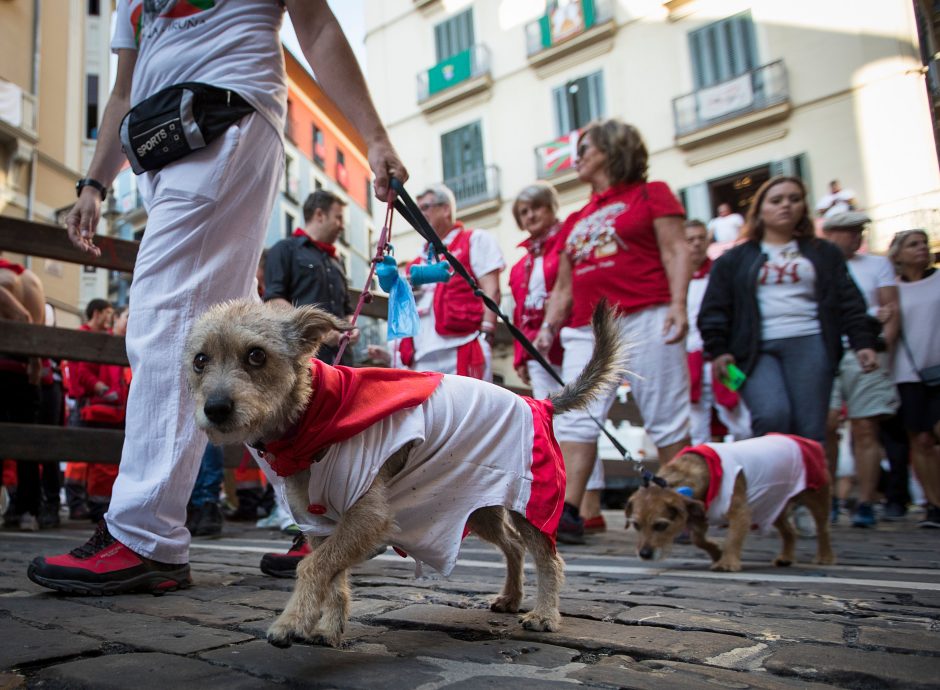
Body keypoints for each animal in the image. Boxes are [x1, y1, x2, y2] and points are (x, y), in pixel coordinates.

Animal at [184, 300, 624, 644]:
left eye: (256, 355)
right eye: (200, 361)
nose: (216, 408)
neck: (312, 415)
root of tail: (539, 404)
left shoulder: (367, 516)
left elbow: (314, 566)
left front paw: (291, 622)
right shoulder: (321, 523)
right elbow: (332, 574)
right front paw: (327, 627)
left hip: (530, 503)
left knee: (549, 560)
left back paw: (545, 615)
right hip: (479, 505)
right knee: (513, 548)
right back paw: (511, 598)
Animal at [628, 436, 832, 568]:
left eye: (661, 525)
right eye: (636, 525)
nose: (644, 554)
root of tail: (805, 441)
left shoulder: (741, 513)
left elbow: (733, 537)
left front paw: (727, 562)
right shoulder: (700, 514)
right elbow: (699, 540)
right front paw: (717, 553)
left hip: (816, 496)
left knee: (823, 528)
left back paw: (824, 556)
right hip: (774, 506)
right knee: (789, 531)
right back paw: (786, 557)